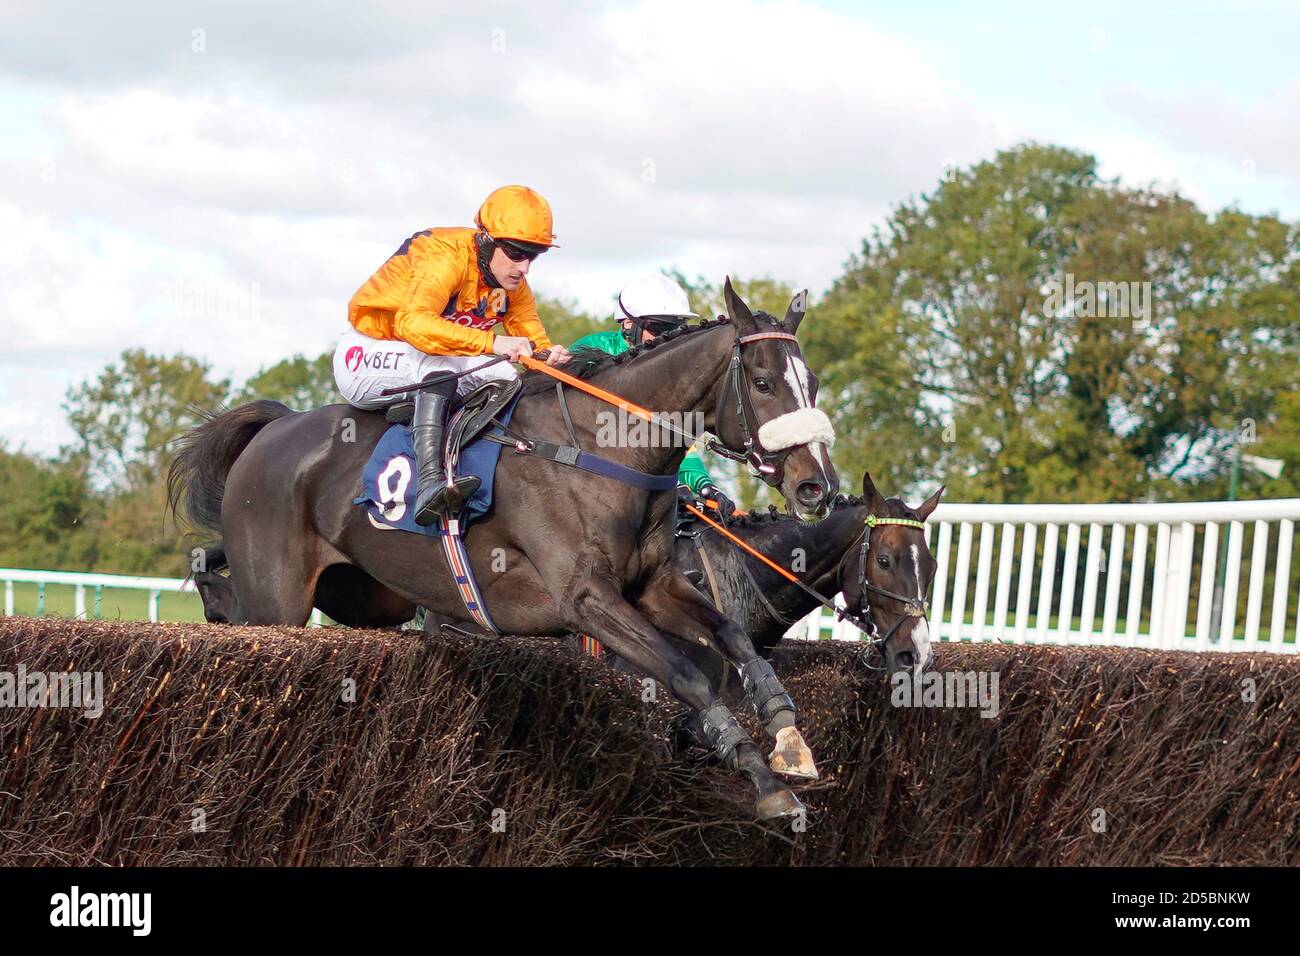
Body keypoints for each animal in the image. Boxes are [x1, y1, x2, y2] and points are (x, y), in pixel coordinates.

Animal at [167, 280, 837, 816]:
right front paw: (763, 782)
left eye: (813, 382)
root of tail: (274, 428)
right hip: (279, 597)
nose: (817, 484)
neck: (604, 450)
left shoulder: (655, 587)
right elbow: (686, 675)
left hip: (367, 596)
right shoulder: (586, 599)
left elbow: (735, 637)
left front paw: (788, 740)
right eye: (763, 382)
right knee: (242, 609)